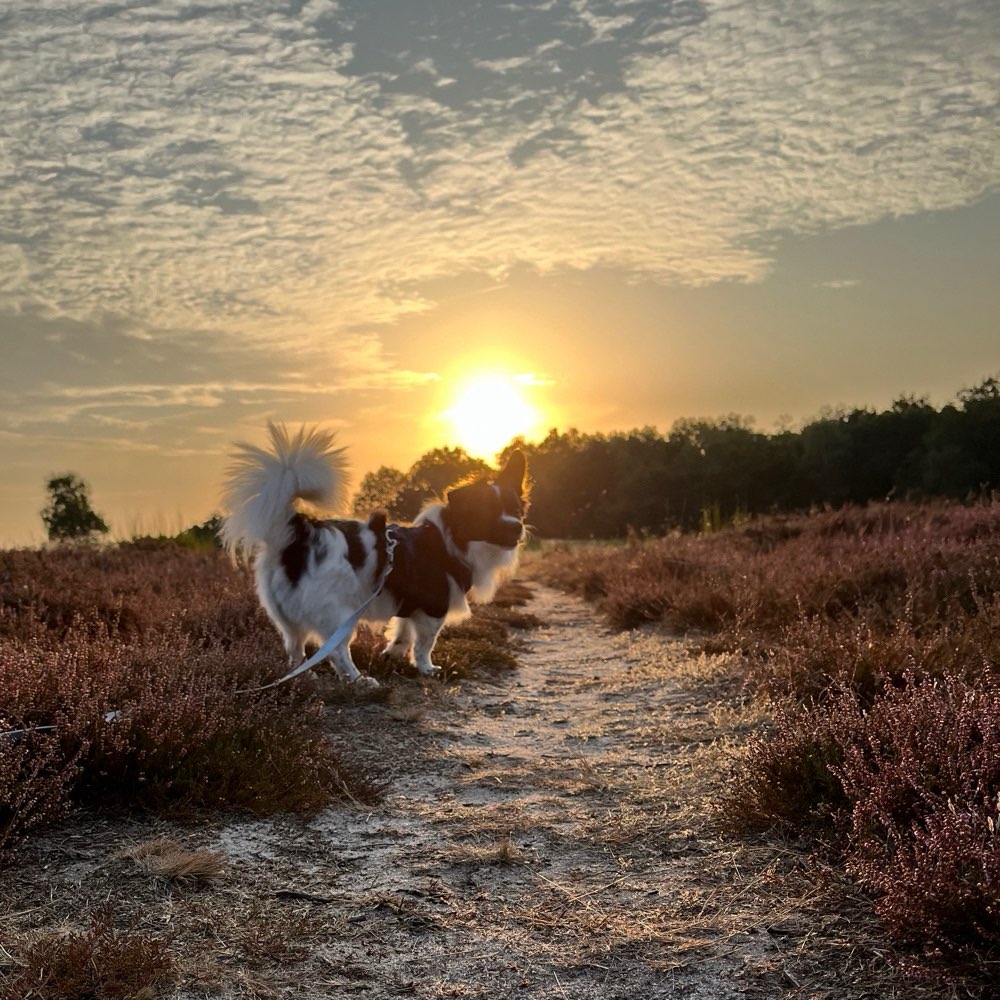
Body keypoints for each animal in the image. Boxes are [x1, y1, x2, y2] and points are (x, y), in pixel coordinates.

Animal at [221, 422, 532, 688]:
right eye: (488, 515)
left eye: (517, 510)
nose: (517, 527)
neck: (450, 540)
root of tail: (298, 531)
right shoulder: (433, 607)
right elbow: (425, 643)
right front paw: (426, 669)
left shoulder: (411, 605)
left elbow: (403, 633)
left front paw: (393, 654)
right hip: (338, 613)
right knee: (336, 652)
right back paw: (359, 680)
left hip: (288, 619)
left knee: (295, 650)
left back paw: (305, 679)